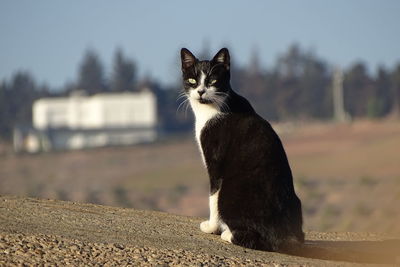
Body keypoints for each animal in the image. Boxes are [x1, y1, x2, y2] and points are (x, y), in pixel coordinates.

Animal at [180, 47, 304, 252]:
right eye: (192, 80)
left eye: (212, 81)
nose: (200, 91)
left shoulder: (215, 162)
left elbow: (213, 196)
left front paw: (211, 227)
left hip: (231, 193)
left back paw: (228, 234)